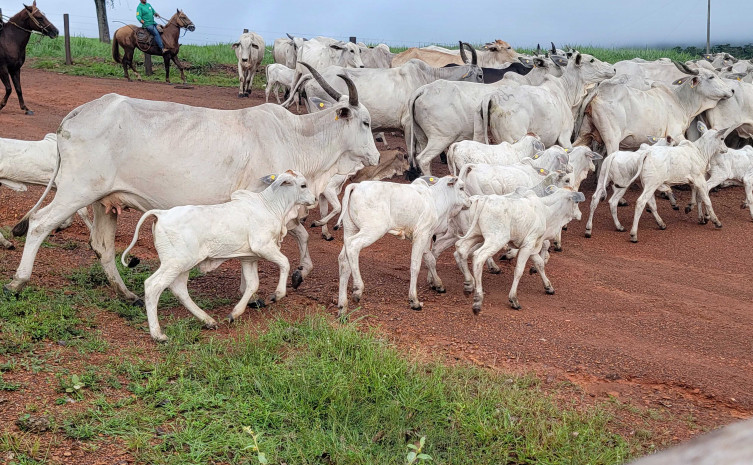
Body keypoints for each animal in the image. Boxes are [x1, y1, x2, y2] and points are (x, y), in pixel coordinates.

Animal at [5, 65, 378, 300]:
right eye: (366, 122)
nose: (375, 156)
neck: (298, 137)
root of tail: (78, 112)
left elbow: (299, 234)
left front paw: (298, 273)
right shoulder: (263, 202)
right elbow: (289, 237)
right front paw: (259, 289)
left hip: (104, 200)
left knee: (102, 246)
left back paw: (126, 293)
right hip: (75, 190)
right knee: (40, 224)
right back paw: (18, 282)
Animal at [122, 170, 316, 340]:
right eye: (303, 185)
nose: (314, 199)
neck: (270, 206)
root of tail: (161, 213)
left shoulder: (249, 258)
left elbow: (253, 284)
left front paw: (234, 314)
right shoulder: (264, 246)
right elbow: (285, 263)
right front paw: (277, 294)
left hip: (183, 265)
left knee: (179, 289)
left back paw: (208, 320)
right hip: (175, 263)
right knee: (153, 286)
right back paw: (158, 334)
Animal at [334, 175, 468, 316]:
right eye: (461, 188)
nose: (469, 201)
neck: (435, 200)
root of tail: (357, 185)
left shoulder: (426, 237)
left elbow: (430, 260)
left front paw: (438, 284)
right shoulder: (421, 235)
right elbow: (415, 266)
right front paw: (414, 300)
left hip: (350, 229)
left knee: (344, 260)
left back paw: (342, 307)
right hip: (374, 229)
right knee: (353, 246)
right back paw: (357, 289)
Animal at [452, 187, 588, 314]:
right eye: (576, 202)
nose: (580, 214)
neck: (546, 210)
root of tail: (483, 199)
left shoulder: (532, 247)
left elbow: (540, 264)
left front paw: (548, 287)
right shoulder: (527, 245)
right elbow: (519, 271)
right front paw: (513, 299)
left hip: (476, 235)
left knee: (461, 249)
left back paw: (469, 284)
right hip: (496, 239)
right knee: (478, 256)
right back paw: (477, 299)